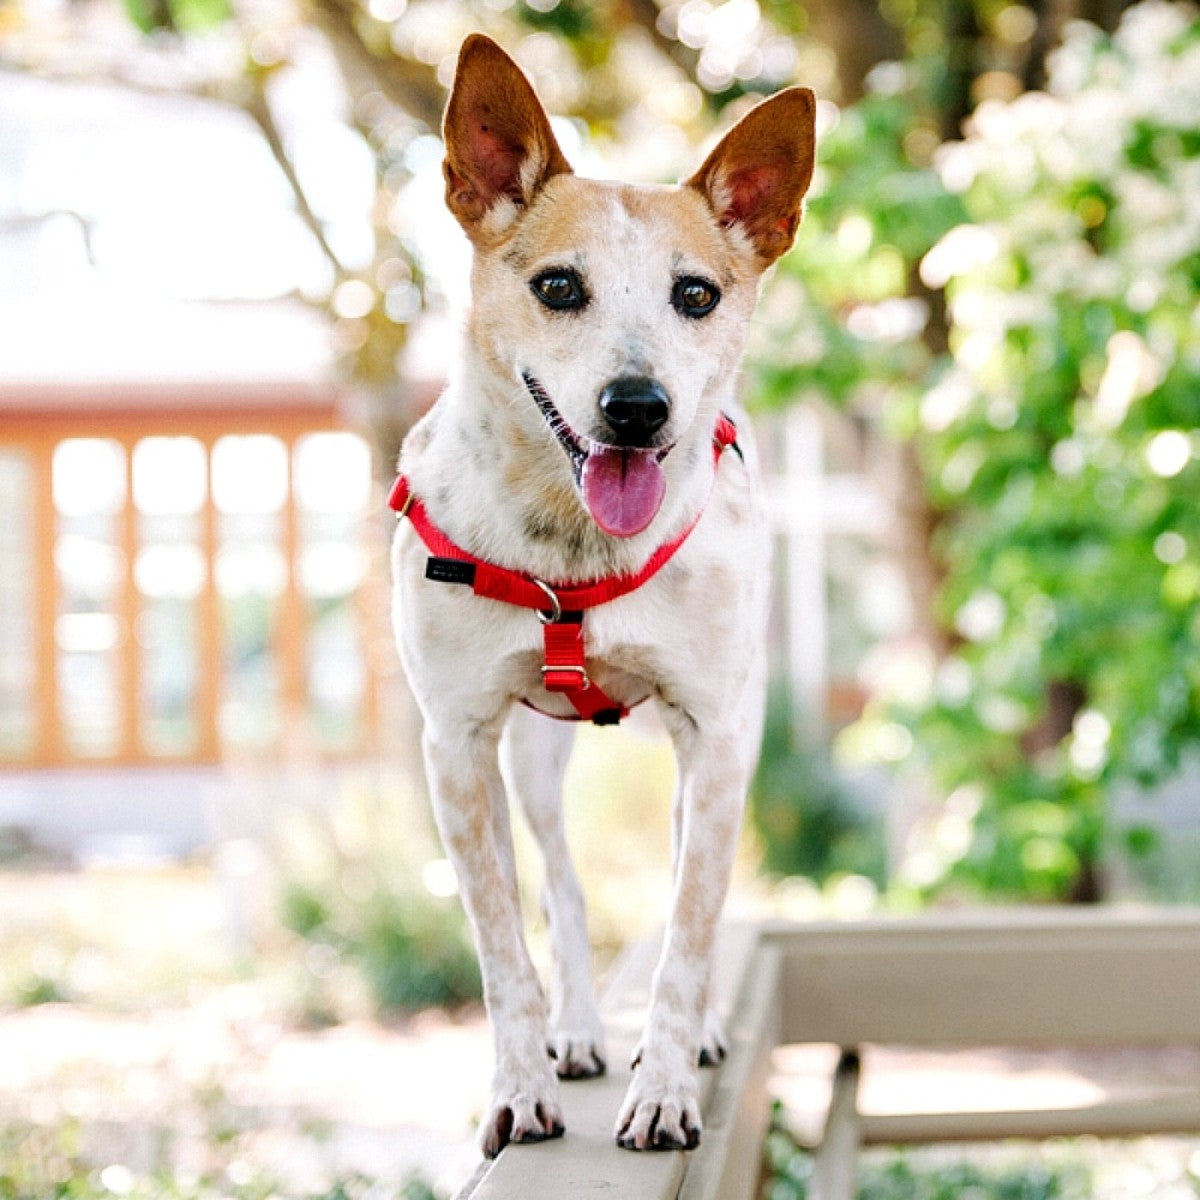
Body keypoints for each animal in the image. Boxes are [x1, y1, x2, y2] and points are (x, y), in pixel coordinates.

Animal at [391, 30, 816, 1152]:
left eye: (696, 295)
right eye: (557, 287)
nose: (638, 407)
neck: (575, 550)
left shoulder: (716, 736)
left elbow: (687, 935)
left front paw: (665, 1086)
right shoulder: (457, 746)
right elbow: (503, 945)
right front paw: (520, 1083)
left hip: (723, 747)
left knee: (683, 898)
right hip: (535, 766)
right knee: (568, 892)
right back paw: (579, 1031)